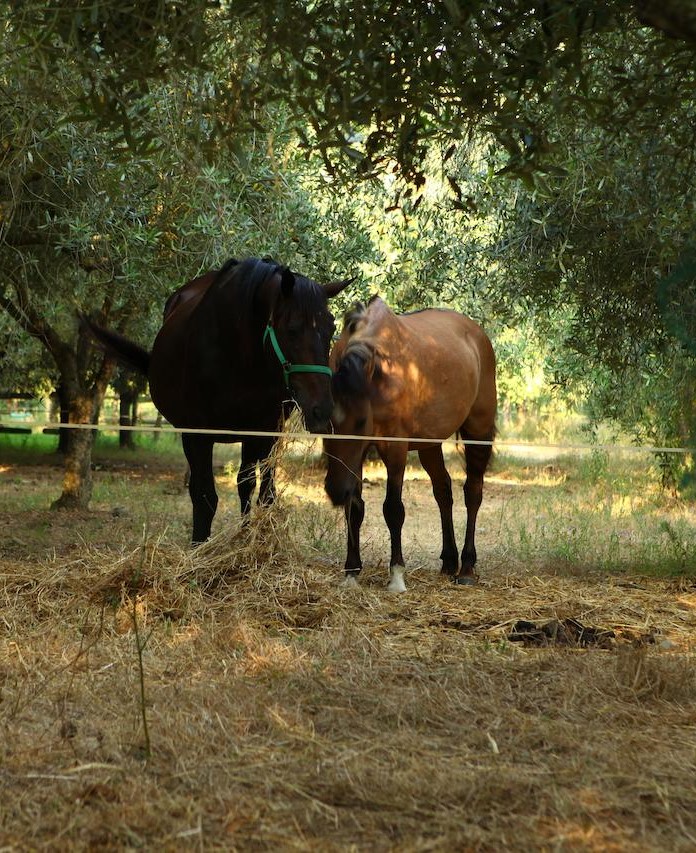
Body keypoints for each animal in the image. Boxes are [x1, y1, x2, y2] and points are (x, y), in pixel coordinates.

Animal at [84, 256, 350, 544]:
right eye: (292, 330)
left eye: (331, 329)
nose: (322, 410)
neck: (237, 355)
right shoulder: (198, 435)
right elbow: (204, 497)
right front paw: (198, 546)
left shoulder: (262, 430)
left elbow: (254, 489)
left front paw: (248, 540)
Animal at [324, 300, 498, 592]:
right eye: (321, 422)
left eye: (360, 421)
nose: (335, 491)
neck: (382, 371)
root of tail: (478, 334)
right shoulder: (357, 457)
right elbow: (355, 507)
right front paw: (351, 571)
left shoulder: (395, 449)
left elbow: (393, 510)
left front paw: (396, 575)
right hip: (430, 444)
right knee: (443, 491)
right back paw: (449, 561)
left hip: (478, 431)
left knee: (473, 492)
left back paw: (466, 568)